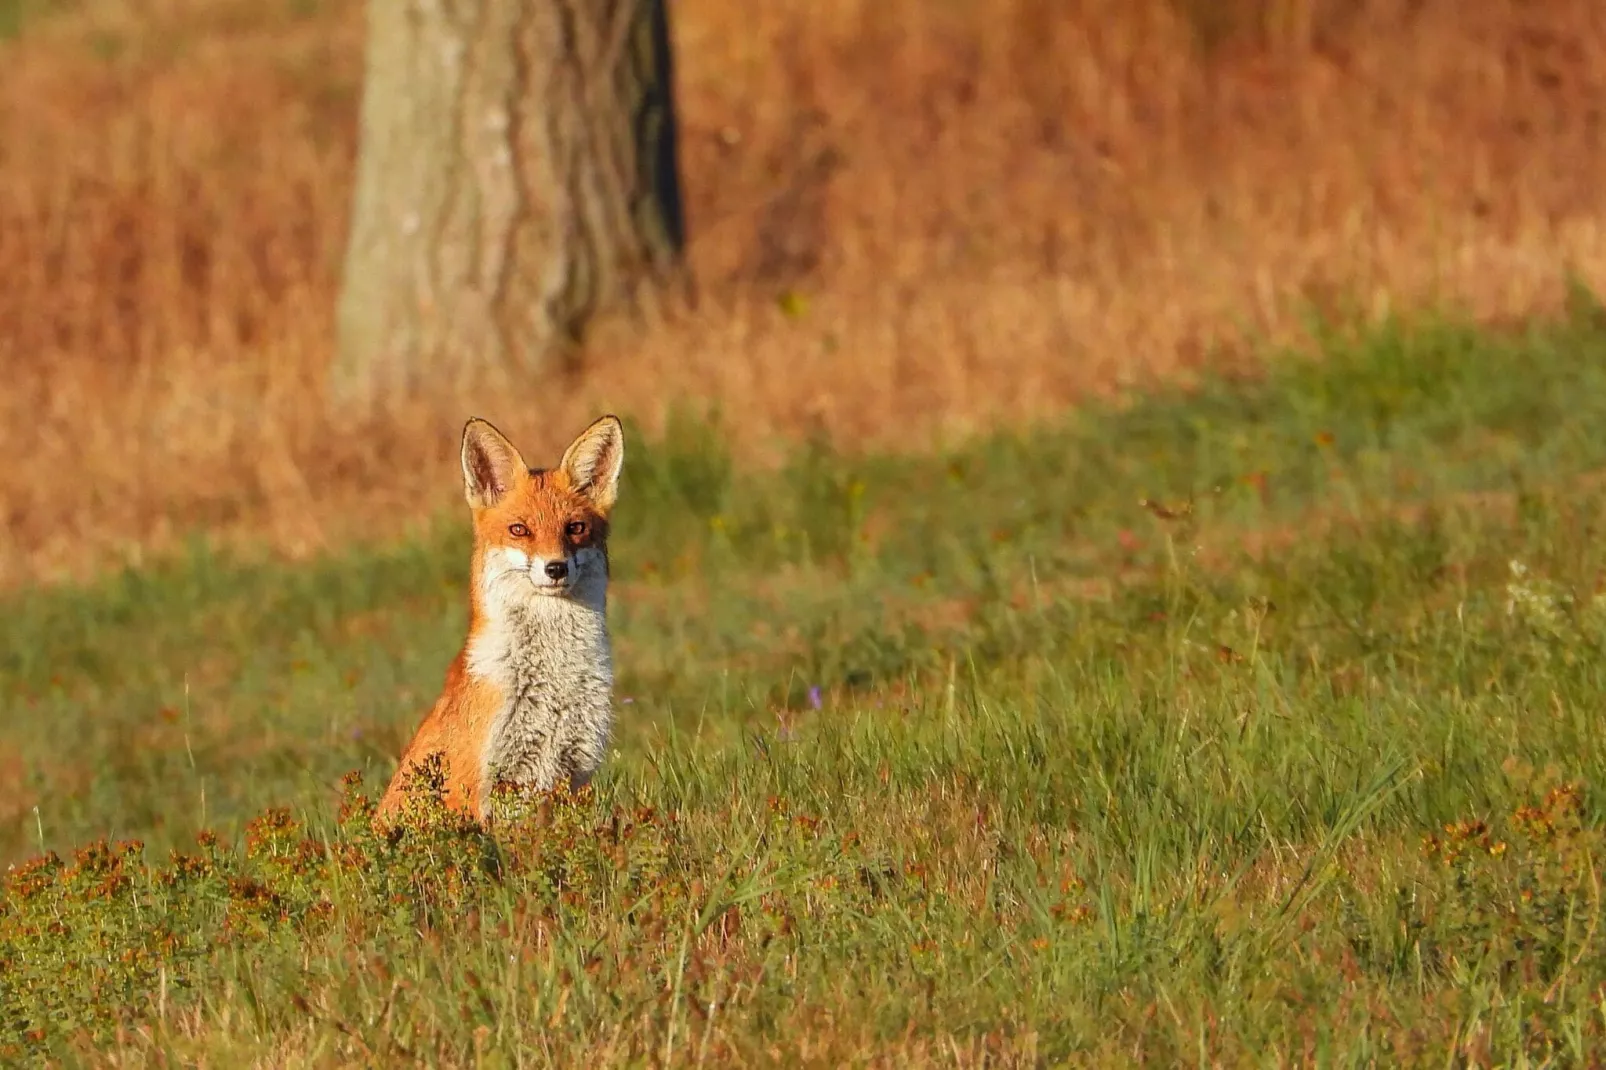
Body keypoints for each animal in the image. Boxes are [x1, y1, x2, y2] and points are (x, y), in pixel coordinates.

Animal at [377, 411, 626, 819]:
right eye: (519, 530)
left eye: (575, 528)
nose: (555, 568)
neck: (552, 682)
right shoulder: (478, 784)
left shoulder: (575, 770)